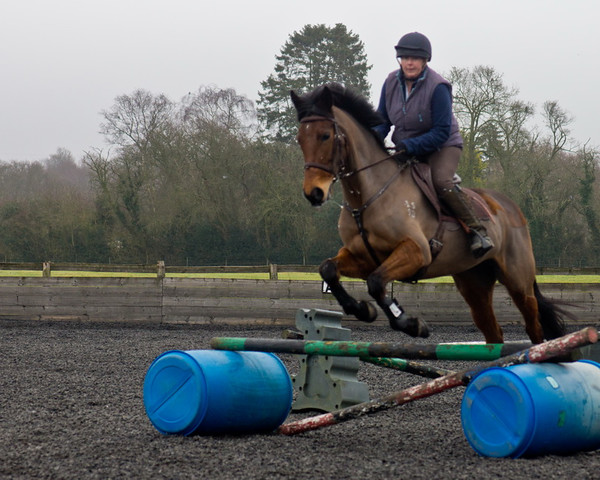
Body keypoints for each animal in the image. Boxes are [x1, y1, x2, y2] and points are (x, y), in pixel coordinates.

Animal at [290, 83, 568, 344]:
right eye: (299, 139)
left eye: (325, 135)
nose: (314, 193)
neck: (367, 197)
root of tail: (511, 207)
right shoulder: (362, 258)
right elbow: (328, 270)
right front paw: (362, 310)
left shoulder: (416, 252)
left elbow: (376, 283)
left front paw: (411, 324)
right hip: (474, 282)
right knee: (493, 331)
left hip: (518, 282)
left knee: (534, 327)